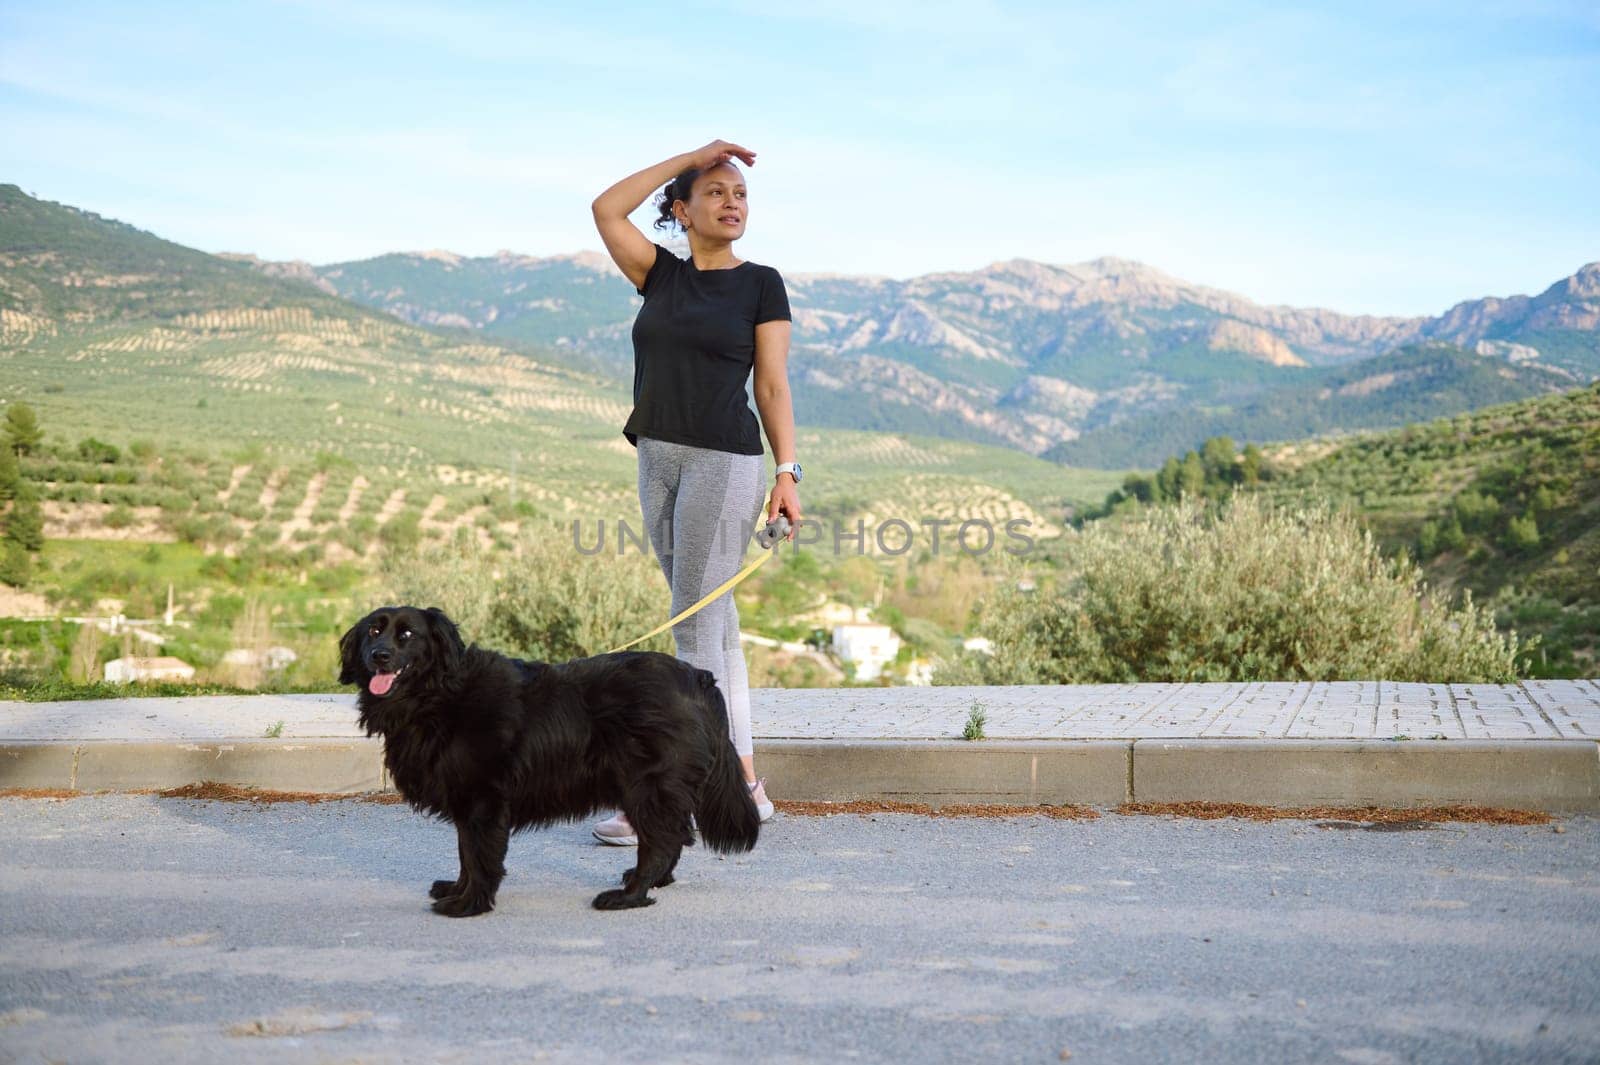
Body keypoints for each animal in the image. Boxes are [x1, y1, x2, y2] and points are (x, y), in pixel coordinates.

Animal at [336, 604, 755, 914]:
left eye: (407, 635)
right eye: (372, 632)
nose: (379, 656)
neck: (439, 693)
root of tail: (697, 676)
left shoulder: (483, 800)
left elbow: (477, 855)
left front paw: (469, 903)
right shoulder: (469, 800)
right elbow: (464, 853)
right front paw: (457, 889)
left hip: (647, 785)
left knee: (661, 842)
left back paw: (630, 895)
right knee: (674, 835)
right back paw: (652, 881)